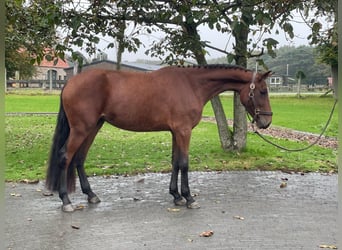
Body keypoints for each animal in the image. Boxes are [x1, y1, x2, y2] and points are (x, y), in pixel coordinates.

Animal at [45, 64, 272, 211]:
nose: (266, 122)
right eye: (262, 91)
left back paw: (91, 195)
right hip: (81, 129)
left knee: (79, 158)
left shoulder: (175, 132)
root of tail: (71, 82)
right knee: (65, 157)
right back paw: (66, 201)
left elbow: (175, 162)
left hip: (93, 128)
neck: (191, 85)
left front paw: (176, 196)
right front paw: (189, 198)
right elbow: (184, 163)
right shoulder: (184, 131)